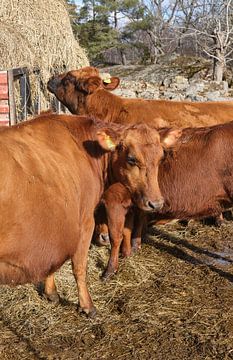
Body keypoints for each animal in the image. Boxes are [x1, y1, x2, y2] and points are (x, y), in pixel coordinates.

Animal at [0, 112, 178, 316]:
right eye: (132, 159)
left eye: (161, 157)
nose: (156, 203)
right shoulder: (84, 222)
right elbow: (79, 267)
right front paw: (87, 305)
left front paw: (51, 293)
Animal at [97, 121, 233, 278]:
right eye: (131, 159)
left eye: (161, 158)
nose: (102, 238)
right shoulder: (132, 204)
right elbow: (128, 229)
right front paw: (128, 253)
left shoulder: (114, 202)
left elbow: (116, 236)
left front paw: (110, 270)